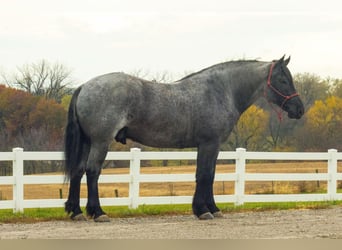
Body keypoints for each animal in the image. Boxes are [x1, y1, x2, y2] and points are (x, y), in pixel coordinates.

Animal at [64, 55, 304, 222]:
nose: (299, 109)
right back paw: (98, 212)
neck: (221, 91)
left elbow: (209, 175)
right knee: (92, 171)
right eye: (282, 79)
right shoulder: (209, 143)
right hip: (100, 142)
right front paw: (203, 210)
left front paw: (212, 208)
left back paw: (76, 212)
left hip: (87, 142)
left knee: (77, 171)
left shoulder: (210, 146)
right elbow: (204, 175)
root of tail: (84, 86)